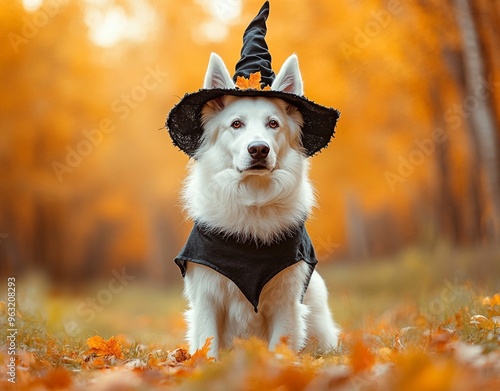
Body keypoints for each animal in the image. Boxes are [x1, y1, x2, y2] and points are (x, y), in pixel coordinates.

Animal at [176, 53, 340, 360]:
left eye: (273, 124)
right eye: (236, 124)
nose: (259, 149)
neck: (252, 199)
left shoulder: (287, 299)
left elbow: (280, 347)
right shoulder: (206, 296)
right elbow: (208, 345)